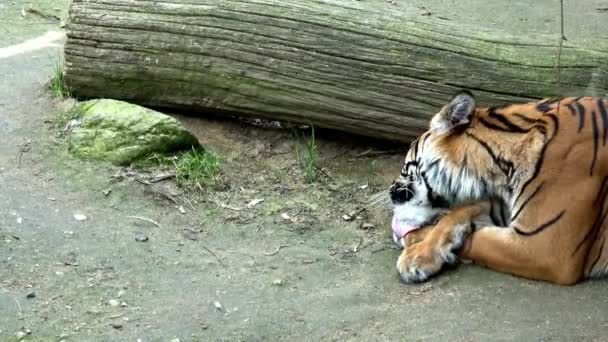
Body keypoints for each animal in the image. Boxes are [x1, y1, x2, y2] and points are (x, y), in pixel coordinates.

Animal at [388, 90, 608, 286]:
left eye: (405, 163)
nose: (390, 189)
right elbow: (457, 214)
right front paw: (423, 252)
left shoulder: (544, 246)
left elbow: (480, 239)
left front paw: (412, 248)